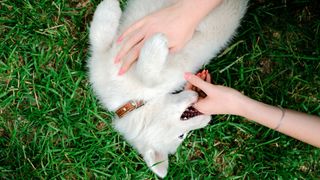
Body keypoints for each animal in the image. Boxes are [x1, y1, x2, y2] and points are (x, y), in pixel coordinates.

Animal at [89, 0, 249, 177]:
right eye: (181, 136)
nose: (208, 119)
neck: (131, 101)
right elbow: (102, 42)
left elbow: (100, 39)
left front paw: (108, 8)